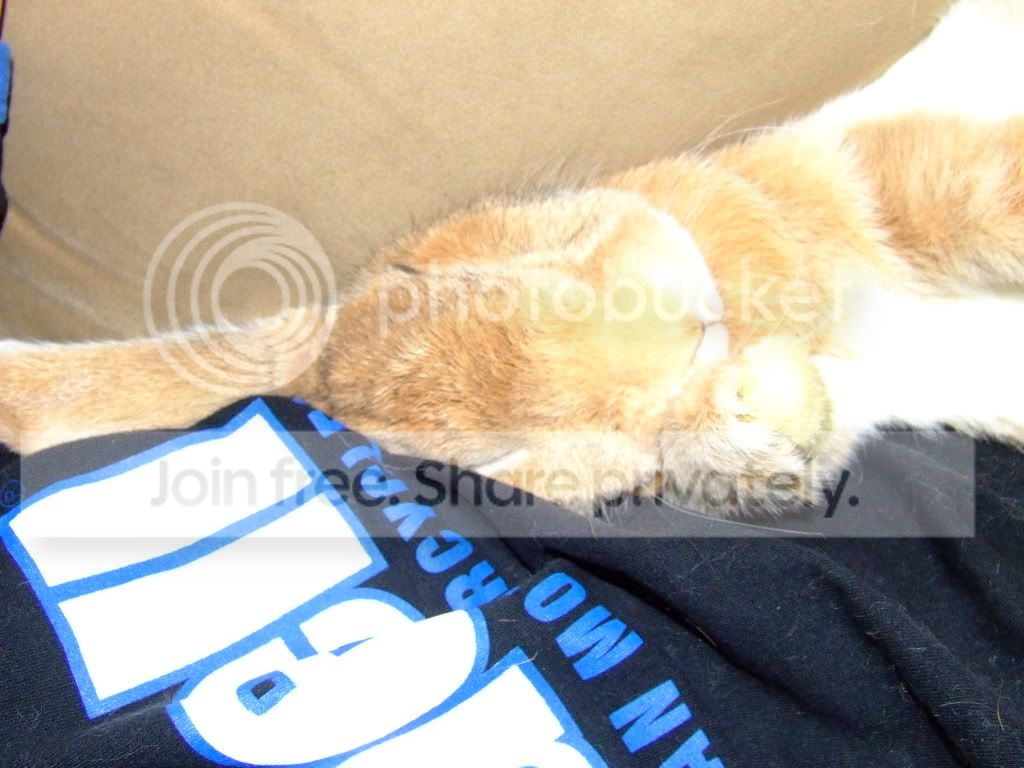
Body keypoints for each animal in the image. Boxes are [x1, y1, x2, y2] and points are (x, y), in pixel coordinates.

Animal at [2, 0, 1023, 518]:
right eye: (502, 455)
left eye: (521, 250)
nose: (683, 327)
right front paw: (739, 430)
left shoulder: (883, 181)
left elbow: (982, 199)